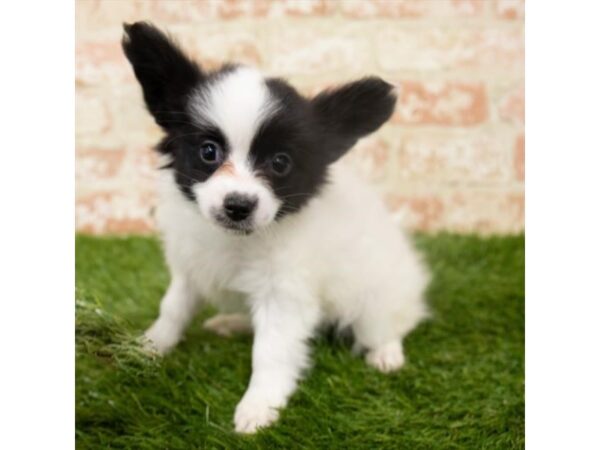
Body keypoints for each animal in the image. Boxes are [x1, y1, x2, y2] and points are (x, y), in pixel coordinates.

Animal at [123, 22, 432, 434]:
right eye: (208, 152)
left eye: (281, 163)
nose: (238, 206)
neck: (237, 241)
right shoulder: (190, 269)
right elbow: (172, 309)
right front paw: (149, 346)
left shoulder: (285, 294)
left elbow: (270, 352)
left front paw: (259, 406)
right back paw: (232, 323)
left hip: (377, 299)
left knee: (384, 326)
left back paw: (386, 354)